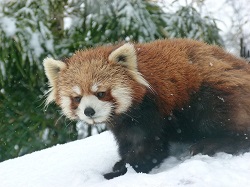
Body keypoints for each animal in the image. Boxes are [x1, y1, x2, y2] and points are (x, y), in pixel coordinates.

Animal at [44, 38, 250, 179]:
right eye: (77, 98)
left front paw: (117, 173)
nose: (89, 111)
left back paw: (211, 143)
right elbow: (127, 143)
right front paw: (119, 164)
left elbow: (150, 148)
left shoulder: (150, 111)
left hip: (214, 93)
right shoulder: (123, 125)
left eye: (101, 93)